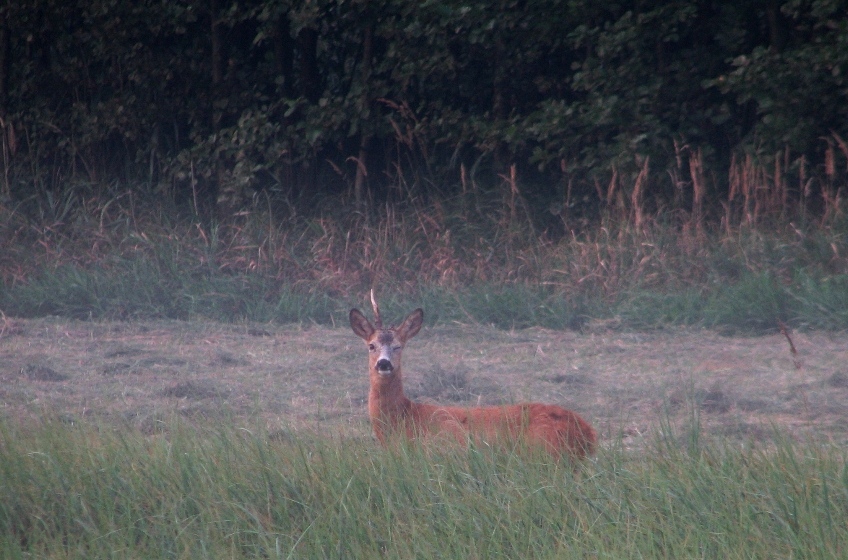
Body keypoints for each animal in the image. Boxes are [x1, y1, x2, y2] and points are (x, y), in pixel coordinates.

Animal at [346, 294, 596, 460]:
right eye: (371, 345)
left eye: (398, 346)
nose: (384, 363)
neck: (404, 418)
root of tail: (588, 433)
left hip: (545, 448)